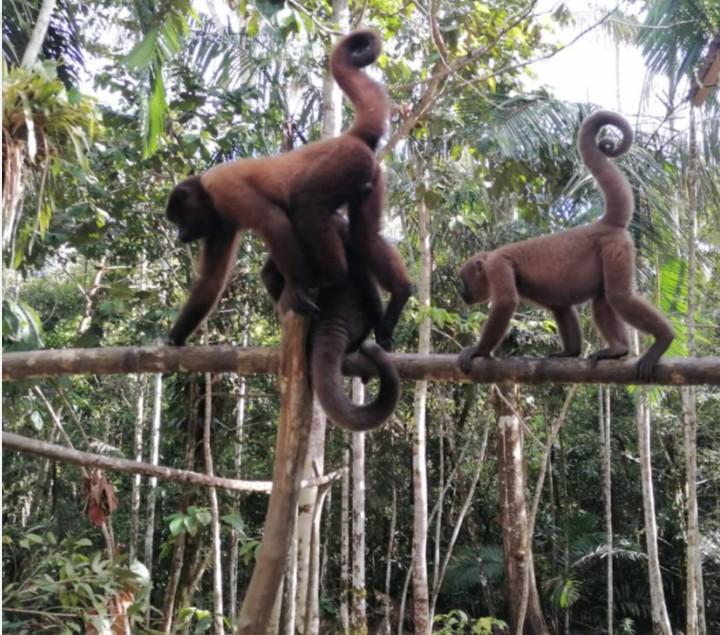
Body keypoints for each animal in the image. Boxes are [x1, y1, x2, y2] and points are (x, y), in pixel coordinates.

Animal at [165, 29, 411, 347]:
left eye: (179, 219)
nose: (180, 235)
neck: (207, 195)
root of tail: (348, 137)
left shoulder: (222, 187)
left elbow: (272, 219)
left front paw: (299, 287)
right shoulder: (219, 222)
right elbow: (211, 281)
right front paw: (173, 340)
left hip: (344, 162)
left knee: (307, 206)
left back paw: (332, 275)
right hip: (368, 174)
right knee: (366, 235)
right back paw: (400, 293)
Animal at [457, 110, 674, 381]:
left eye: (463, 281)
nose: (461, 293)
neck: (487, 261)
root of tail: (601, 224)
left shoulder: (498, 264)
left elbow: (506, 302)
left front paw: (479, 350)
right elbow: (559, 304)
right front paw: (570, 352)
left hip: (614, 247)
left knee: (619, 297)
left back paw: (663, 338)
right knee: (601, 300)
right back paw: (618, 349)